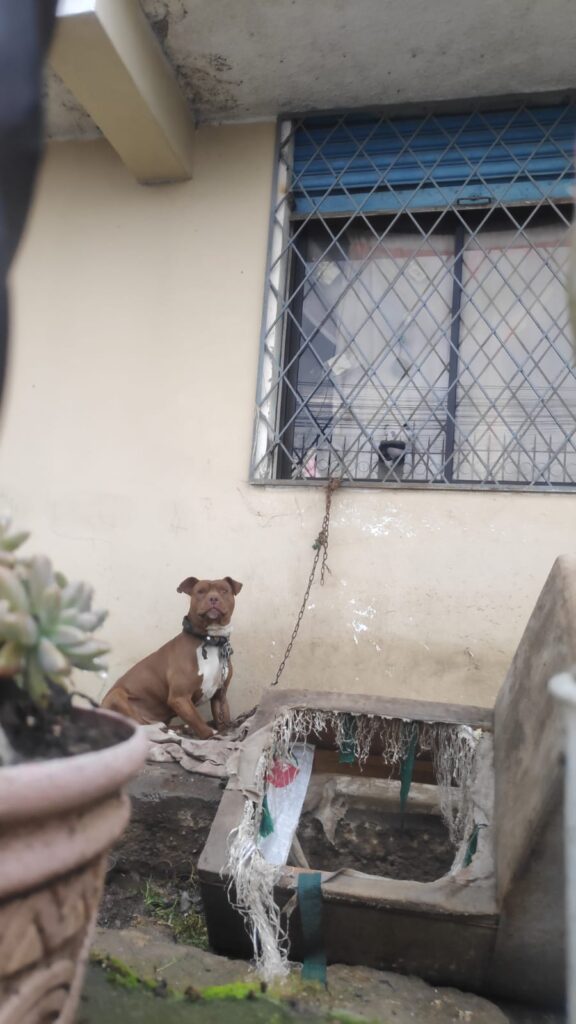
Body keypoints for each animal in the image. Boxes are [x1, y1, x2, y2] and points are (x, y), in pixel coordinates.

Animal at [101, 576, 242, 739]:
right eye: (200, 591)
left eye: (224, 590)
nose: (213, 598)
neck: (211, 640)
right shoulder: (179, 698)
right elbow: (199, 723)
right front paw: (210, 734)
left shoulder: (220, 695)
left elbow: (223, 718)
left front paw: (225, 731)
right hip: (116, 696)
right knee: (141, 726)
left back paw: (180, 729)